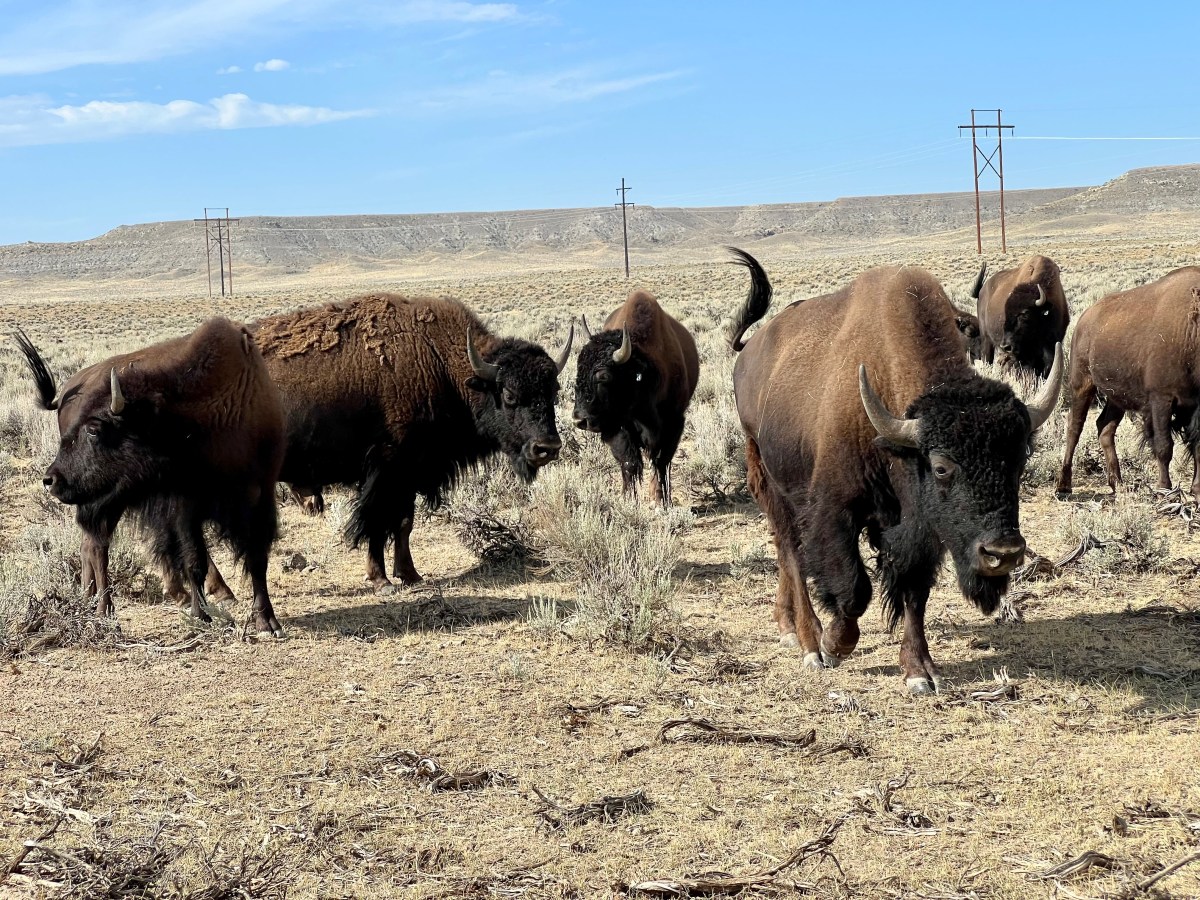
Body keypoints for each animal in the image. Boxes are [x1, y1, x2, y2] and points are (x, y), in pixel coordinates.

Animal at [16, 319, 286, 636]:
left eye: (94, 430)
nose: (52, 479)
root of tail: (69, 387)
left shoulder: (260, 496)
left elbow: (257, 558)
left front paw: (267, 621)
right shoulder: (185, 505)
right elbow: (194, 559)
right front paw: (201, 615)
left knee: (88, 545)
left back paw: (88, 598)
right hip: (104, 500)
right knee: (98, 546)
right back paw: (104, 610)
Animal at [573, 290, 699, 504]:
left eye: (604, 376)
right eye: (578, 370)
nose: (580, 419)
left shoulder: (674, 422)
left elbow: (661, 461)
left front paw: (662, 500)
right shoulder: (618, 427)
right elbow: (629, 462)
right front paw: (629, 499)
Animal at [729, 248, 1061, 693]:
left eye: (1021, 458)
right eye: (941, 467)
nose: (1003, 553)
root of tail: (749, 352)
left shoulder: (919, 529)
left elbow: (913, 593)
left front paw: (920, 671)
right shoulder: (835, 511)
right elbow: (854, 589)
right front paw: (834, 645)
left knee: (788, 557)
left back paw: (787, 627)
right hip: (770, 479)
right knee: (791, 554)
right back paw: (809, 643)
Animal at [1057, 266, 1200, 501]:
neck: (1191, 329)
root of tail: (1084, 319)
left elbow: (1197, 446)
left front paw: (1196, 490)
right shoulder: (1161, 399)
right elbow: (1164, 446)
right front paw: (1165, 490)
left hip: (1116, 397)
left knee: (1104, 428)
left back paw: (1117, 483)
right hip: (1082, 384)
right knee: (1074, 428)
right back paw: (1063, 486)